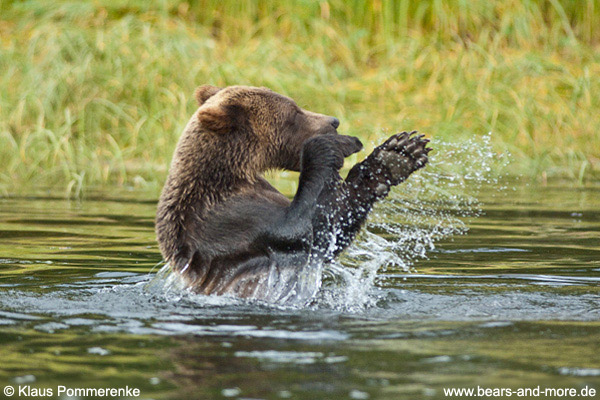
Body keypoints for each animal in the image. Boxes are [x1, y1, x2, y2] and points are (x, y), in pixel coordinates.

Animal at [154, 85, 426, 304]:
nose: (334, 121)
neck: (232, 174)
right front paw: (332, 145)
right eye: (294, 112)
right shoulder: (231, 220)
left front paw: (398, 154)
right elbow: (309, 229)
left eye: (296, 105)